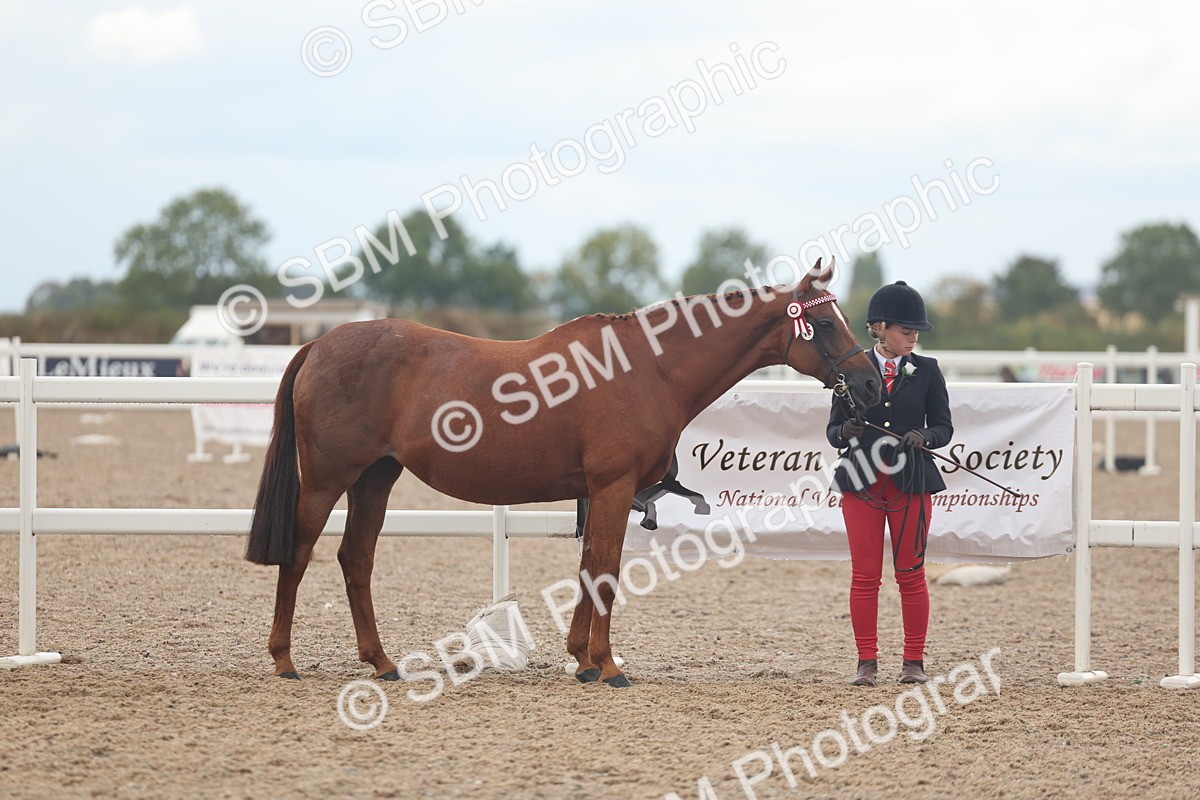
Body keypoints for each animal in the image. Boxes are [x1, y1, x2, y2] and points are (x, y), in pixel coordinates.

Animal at [245, 260, 880, 687]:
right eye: (825, 326)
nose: (872, 384)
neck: (647, 369)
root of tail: (320, 344)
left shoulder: (600, 493)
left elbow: (589, 568)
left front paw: (583, 660)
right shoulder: (614, 488)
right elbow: (606, 570)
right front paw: (608, 665)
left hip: (375, 477)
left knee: (356, 559)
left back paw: (381, 663)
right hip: (327, 479)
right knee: (299, 553)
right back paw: (284, 659)